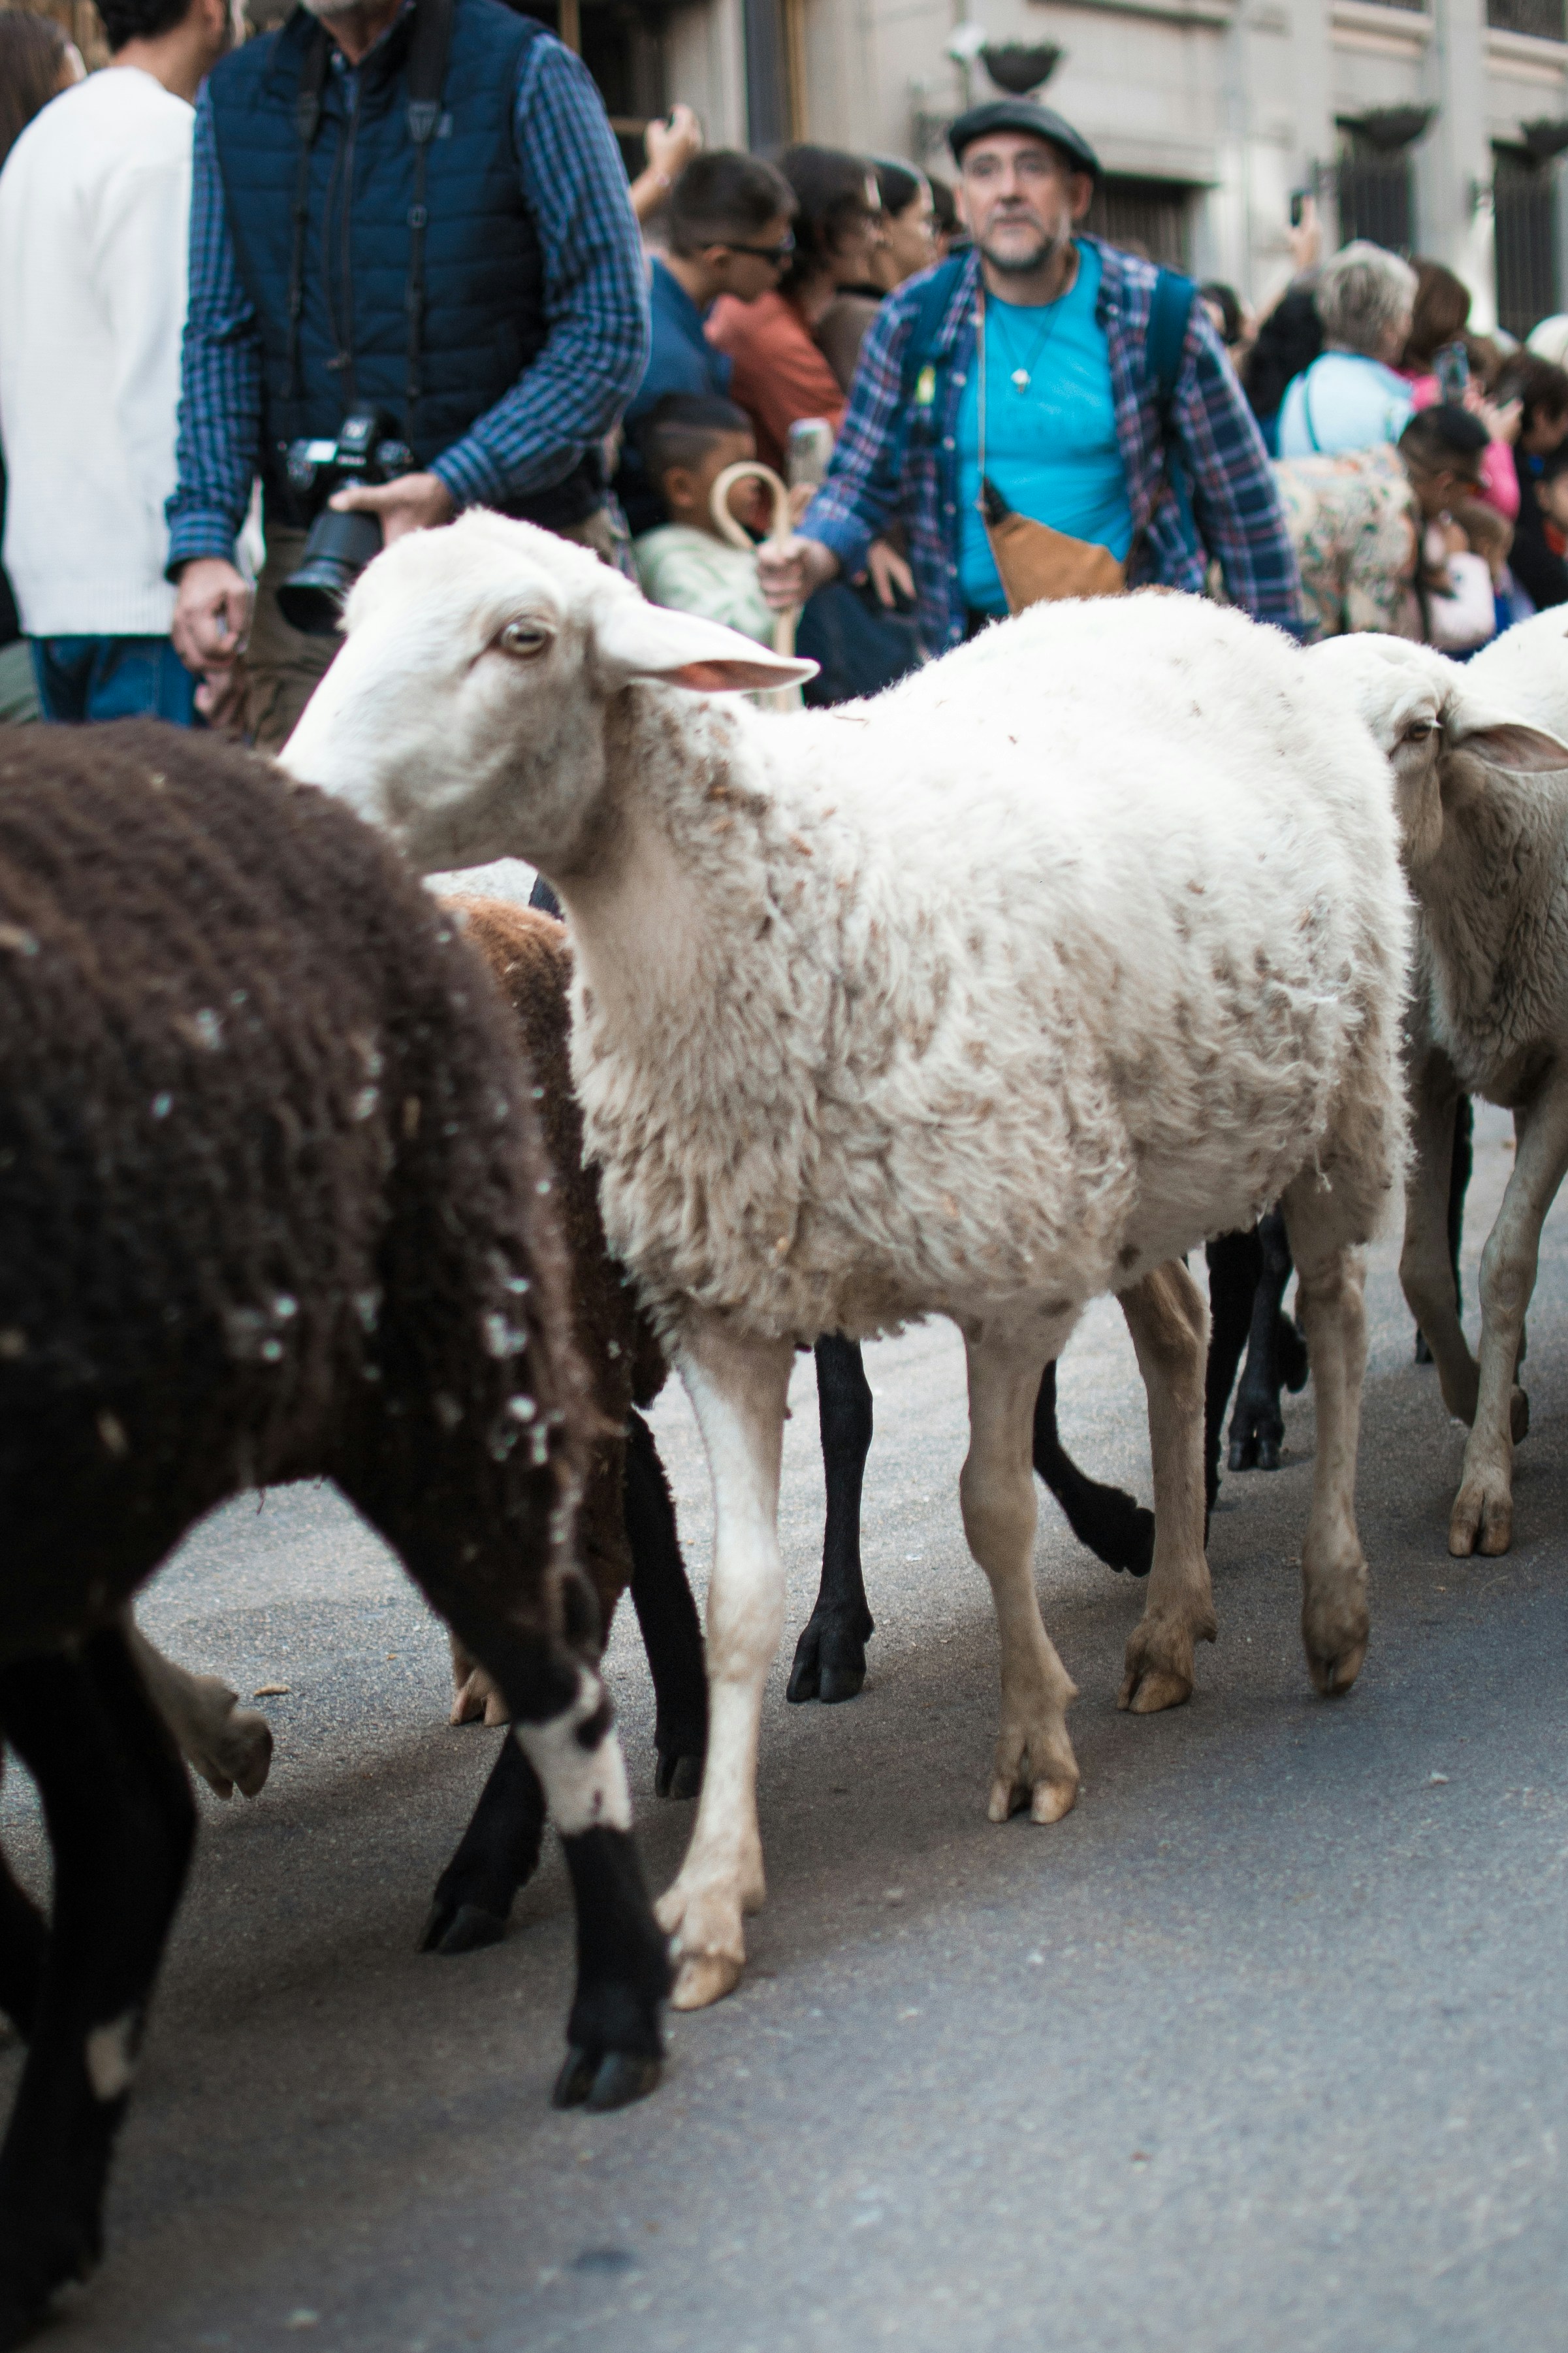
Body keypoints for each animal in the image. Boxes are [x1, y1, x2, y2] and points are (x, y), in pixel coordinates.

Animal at [282, 515, 1410, 2013]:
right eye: (348, 623)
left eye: (523, 639)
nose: (292, 799)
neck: (780, 905)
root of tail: (1196, 610)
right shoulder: (720, 1317)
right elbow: (736, 1598)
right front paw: (709, 1900)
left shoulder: (1009, 1274)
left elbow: (992, 1504)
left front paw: (1030, 1748)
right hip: (1129, 1166)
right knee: (1176, 1340)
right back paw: (1170, 1620)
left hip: (1341, 1093)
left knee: (1332, 1315)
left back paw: (1330, 1607)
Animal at [1308, 628, 1568, 1557]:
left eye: (1419, 731)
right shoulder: (1421, 1065)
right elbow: (1421, 1271)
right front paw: (1486, 1397)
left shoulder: (1564, 1069)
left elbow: (1506, 1262)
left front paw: (1486, 1481)